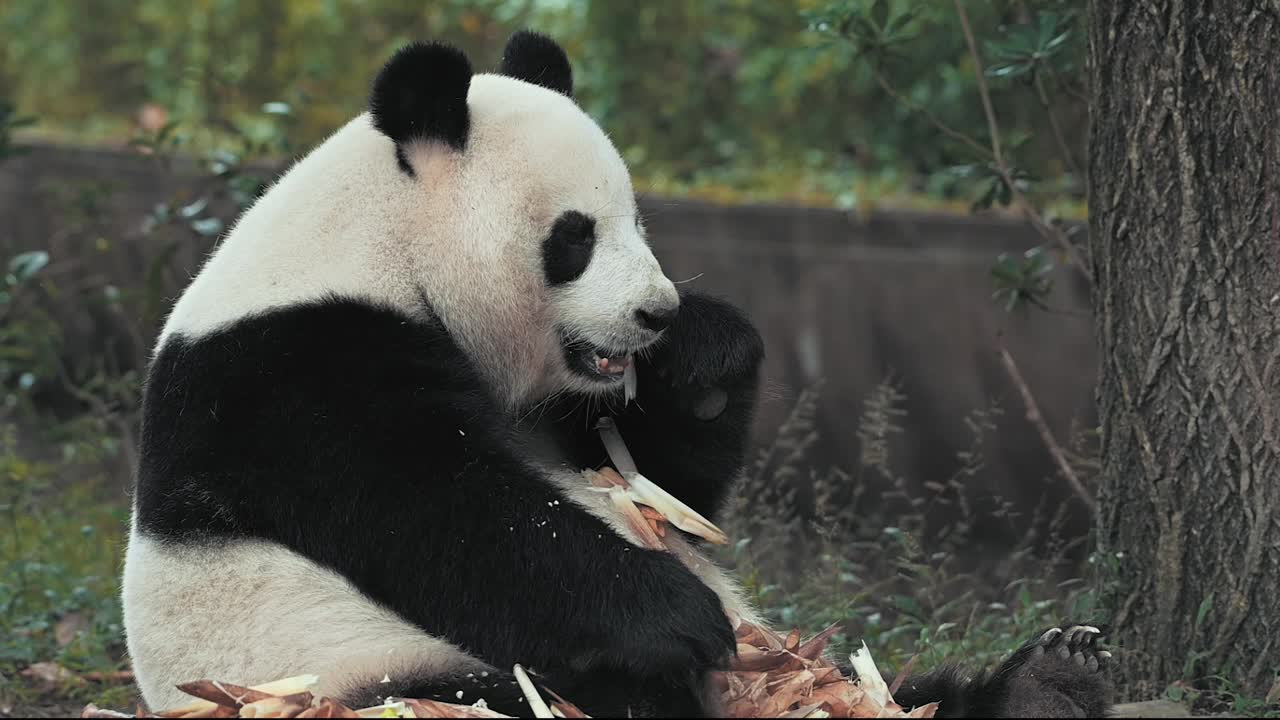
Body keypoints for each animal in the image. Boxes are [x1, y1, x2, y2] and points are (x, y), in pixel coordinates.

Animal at [121, 31, 1113, 719]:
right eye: (574, 237)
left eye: (639, 219)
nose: (656, 313)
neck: (381, 240)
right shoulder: (296, 365)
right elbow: (445, 511)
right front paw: (678, 615)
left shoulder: (565, 410)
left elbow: (663, 488)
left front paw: (706, 353)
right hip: (367, 672)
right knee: (559, 694)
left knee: (897, 690)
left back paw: (1047, 681)